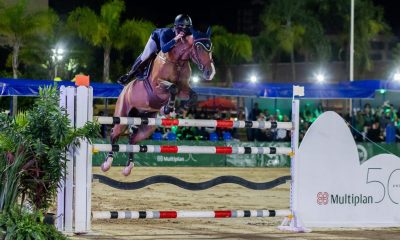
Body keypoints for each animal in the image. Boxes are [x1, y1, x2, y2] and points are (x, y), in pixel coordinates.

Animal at [101, 27, 217, 175]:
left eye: (211, 48)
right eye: (198, 47)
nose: (210, 73)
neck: (177, 61)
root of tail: (125, 90)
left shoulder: (184, 87)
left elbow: (192, 95)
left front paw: (173, 110)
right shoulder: (157, 86)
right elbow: (172, 88)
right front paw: (167, 109)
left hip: (147, 126)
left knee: (133, 139)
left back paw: (128, 167)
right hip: (122, 116)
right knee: (114, 134)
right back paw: (107, 164)